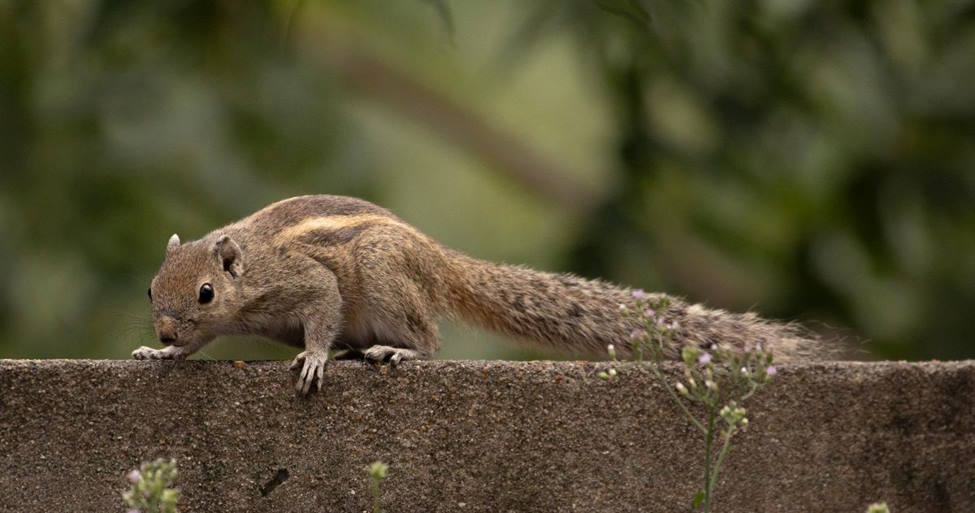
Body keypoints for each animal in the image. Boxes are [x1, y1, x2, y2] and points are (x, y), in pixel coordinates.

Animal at [135, 194, 816, 394]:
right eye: (150, 290)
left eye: (204, 292)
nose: (164, 328)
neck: (249, 272)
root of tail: (442, 265)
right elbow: (193, 351)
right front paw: (160, 354)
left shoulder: (304, 279)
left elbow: (322, 310)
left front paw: (315, 358)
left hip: (384, 277)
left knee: (432, 339)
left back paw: (398, 351)